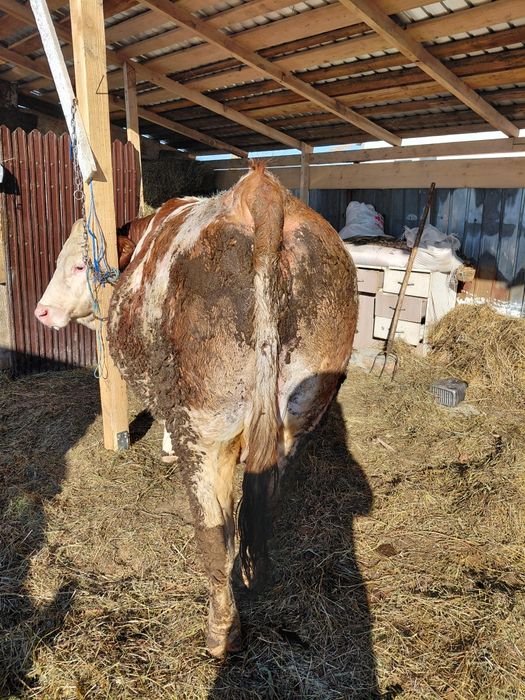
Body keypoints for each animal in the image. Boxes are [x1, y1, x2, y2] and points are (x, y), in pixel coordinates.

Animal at [35, 165, 358, 657]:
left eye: (76, 264)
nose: (42, 311)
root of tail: (260, 194)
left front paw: (165, 449)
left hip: (207, 430)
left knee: (214, 531)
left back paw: (221, 633)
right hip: (296, 416)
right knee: (259, 508)